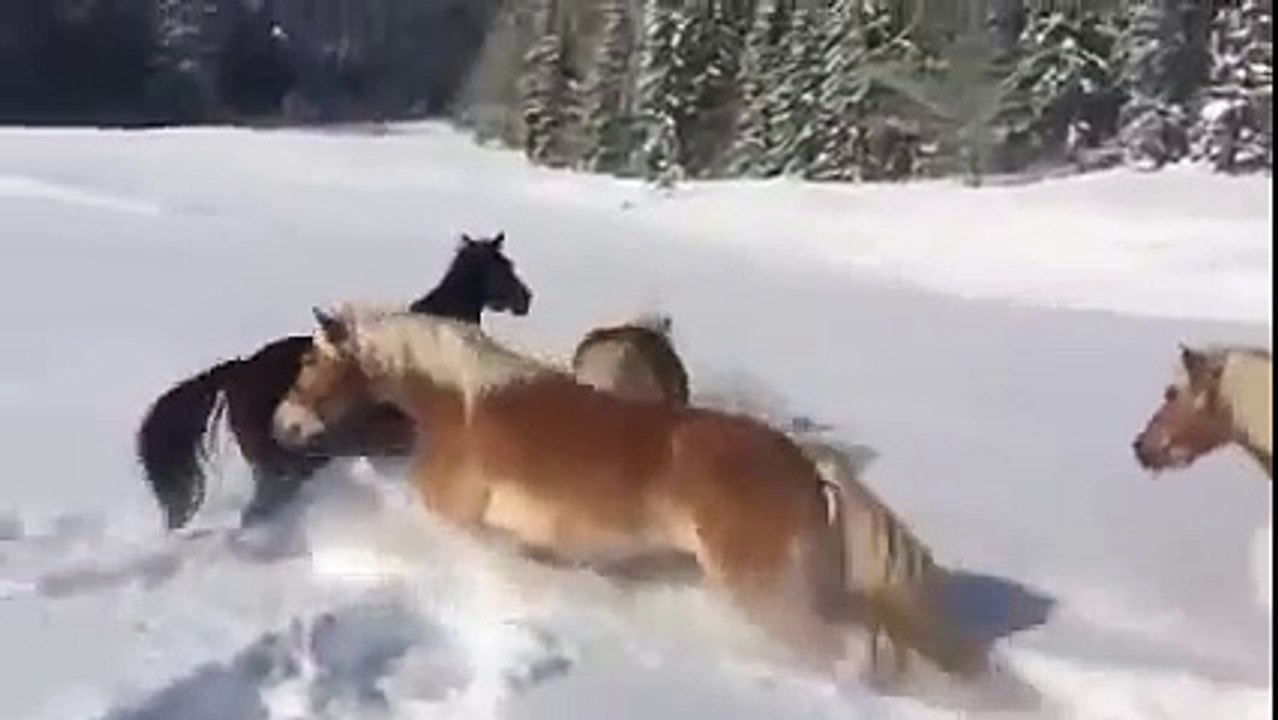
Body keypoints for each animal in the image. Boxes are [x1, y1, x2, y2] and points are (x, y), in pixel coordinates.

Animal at [271, 306, 987, 683]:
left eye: (309, 363)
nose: (285, 426)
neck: (462, 404)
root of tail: (806, 465)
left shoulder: (461, 517)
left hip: (760, 590)